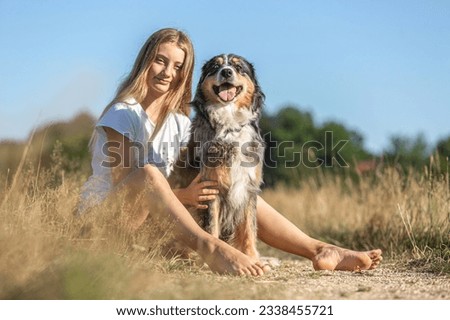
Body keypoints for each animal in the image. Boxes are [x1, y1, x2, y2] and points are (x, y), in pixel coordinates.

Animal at [171, 54, 266, 260]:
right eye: (215, 67)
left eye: (239, 67)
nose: (227, 72)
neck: (230, 127)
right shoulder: (210, 188)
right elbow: (211, 227)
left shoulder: (249, 188)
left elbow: (249, 228)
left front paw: (251, 256)